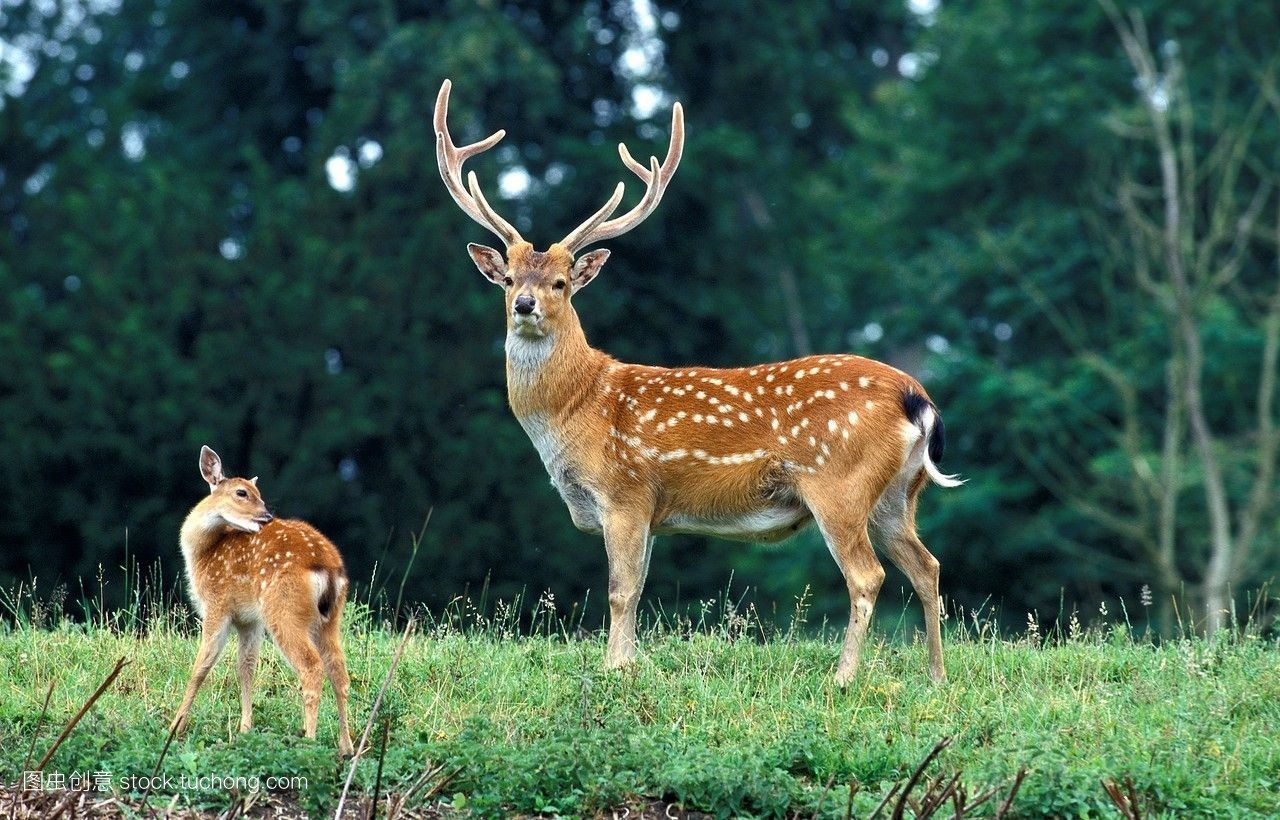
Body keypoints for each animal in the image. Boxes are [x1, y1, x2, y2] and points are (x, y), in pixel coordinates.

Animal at [172, 445, 355, 752]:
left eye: (257, 492)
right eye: (242, 492)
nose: (267, 515)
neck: (203, 554)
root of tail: (328, 568)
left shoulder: (217, 604)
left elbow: (201, 667)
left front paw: (175, 727)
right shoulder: (249, 620)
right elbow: (246, 667)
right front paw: (245, 729)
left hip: (283, 608)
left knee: (311, 667)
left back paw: (309, 741)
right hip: (330, 619)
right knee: (338, 671)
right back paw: (347, 748)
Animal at [437, 79, 962, 680]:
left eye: (561, 283)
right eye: (508, 279)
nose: (525, 305)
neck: (576, 409)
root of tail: (917, 398)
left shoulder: (626, 491)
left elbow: (620, 591)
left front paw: (612, 671)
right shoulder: (650, 511)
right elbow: (639, 589)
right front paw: (631, 663)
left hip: (838, 481)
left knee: (867, 575)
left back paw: (844, 676)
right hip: (898, 494)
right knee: (927, 565)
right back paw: (936, 676)